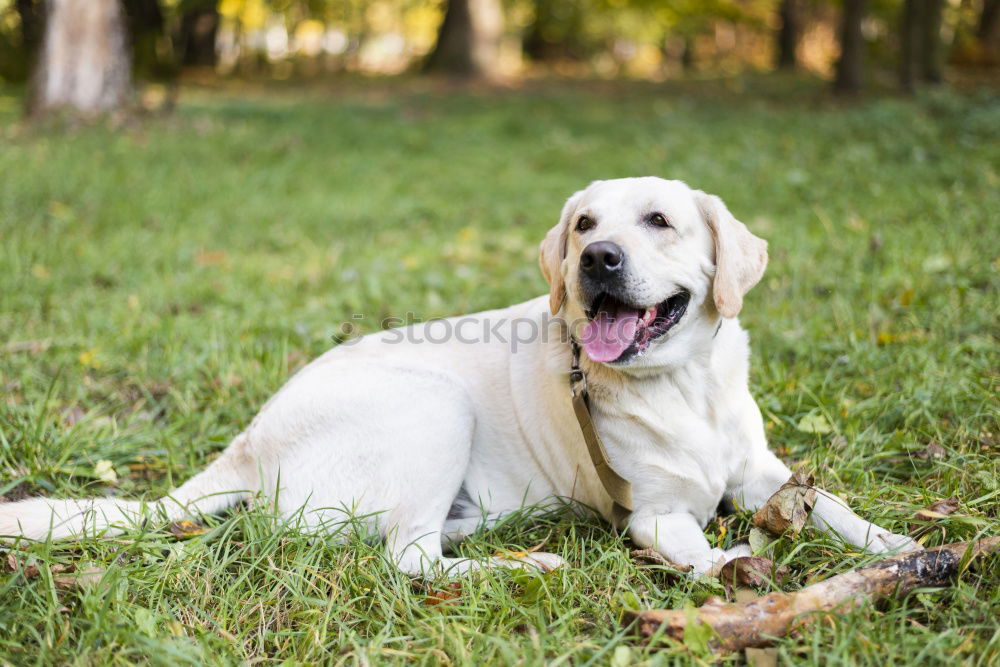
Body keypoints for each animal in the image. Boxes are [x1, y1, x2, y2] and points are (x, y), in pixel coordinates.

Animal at [1, 177, 920, 576]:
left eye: (658, 220)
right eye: (584, 223)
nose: (596, 257)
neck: (681, 382)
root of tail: (246, 445)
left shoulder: (763, 471)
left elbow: (834, 506)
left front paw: (902, 547)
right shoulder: (654, 514)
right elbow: (699, 552)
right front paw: (735, 569)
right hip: (432, 405)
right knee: (409, 559)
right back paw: (525, 564)